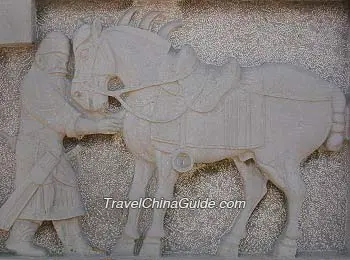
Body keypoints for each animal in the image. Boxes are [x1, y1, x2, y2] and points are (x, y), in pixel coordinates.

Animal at [70, 8, 344, 258]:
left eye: (84, 53)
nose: (79, 97)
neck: (156, 90)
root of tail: (329, 91)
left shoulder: (167, 156)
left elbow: (161, 197)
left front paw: (151, 246)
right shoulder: (143, 158)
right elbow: (135, 196)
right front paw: (125, 246)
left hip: (277, 160)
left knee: (296, 193)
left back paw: (285, 248)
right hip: (246, 158)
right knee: (256, 191)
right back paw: (230, 245)